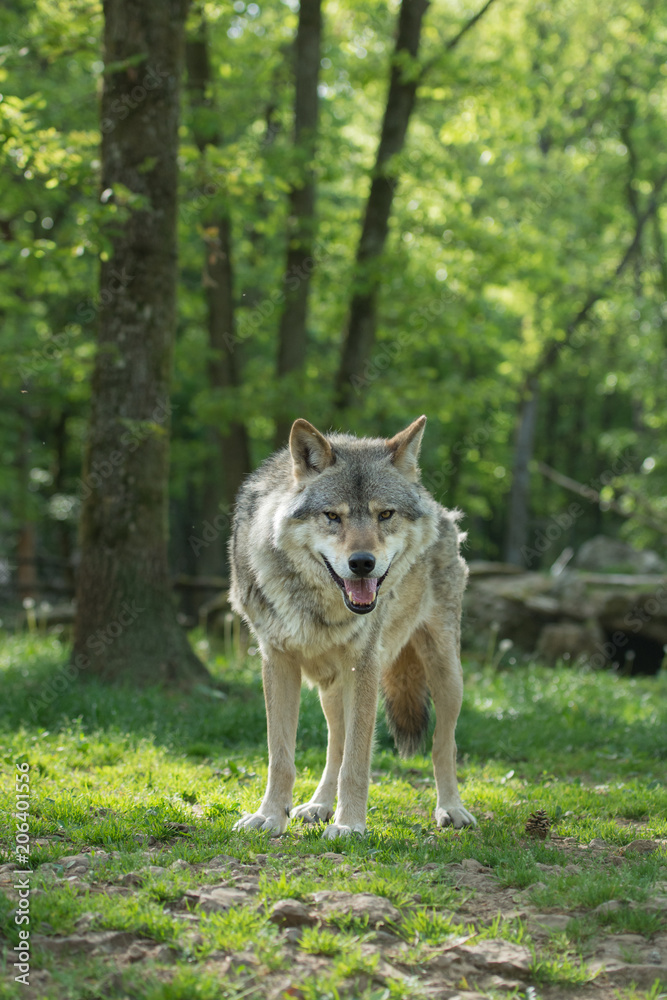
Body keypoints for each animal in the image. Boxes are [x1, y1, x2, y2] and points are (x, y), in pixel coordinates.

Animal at [229, 416, 476, 839]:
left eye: (385, 514)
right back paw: (319, 805)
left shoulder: (365, 666)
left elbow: (358, 761)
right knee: (336, 744)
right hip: (331, 687)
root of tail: (438, 506)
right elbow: (282, 756)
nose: (362, 563)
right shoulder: (276, 661)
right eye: (332, 516)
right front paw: (270, 817)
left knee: (444, 744)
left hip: (446, 673)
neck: (318, 604)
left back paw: (451, 809)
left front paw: (350, 826)